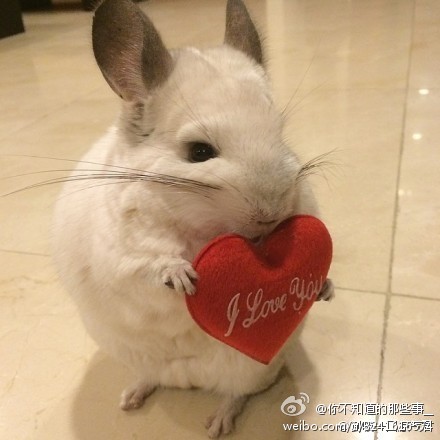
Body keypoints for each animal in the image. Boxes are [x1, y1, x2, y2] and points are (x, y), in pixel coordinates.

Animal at [52, 0, 334, 437]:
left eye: (280, 135)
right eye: (199, 152)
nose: (271, 214)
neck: (205, 229)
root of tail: (189, 381)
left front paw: (324, 288)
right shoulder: (122, 257)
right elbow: (149, 268)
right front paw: (182, 276)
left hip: (250, 370)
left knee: (236, 394)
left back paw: (216, 423)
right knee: (152, 378)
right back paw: (131, 398)